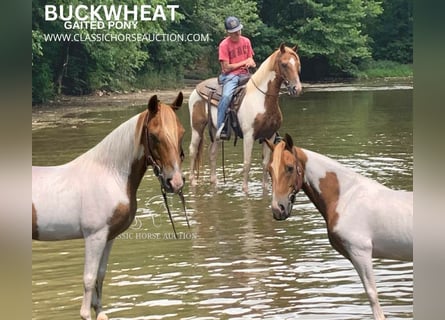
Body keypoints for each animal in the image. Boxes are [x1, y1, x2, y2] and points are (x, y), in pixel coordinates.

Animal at [32, 92, 186, 320]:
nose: (174, 182)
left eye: (181, 133)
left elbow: (100, 275)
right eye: (155, 135)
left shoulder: (109, 237)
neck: (110, 174)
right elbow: (89, 278)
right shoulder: (94, 236)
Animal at [187, 42, 302, 192]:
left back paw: (214, 183)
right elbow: (247, 163)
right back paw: (193, 182)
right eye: (284, 64)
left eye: (298, 64)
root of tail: (196, 89)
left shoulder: (269, 136)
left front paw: (265, 189)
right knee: (193, 151)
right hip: (197, 128)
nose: (296, 89)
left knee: (212, 152)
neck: (262, 99)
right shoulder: (249, 136)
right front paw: (245, 191)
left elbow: (266, 164)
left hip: (216, 130)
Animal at [264, 133, 412, 320]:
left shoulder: (360, 252)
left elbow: (372, 296)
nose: (278, 209)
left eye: (290, 167)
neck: (346, 196)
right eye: (270, 170)